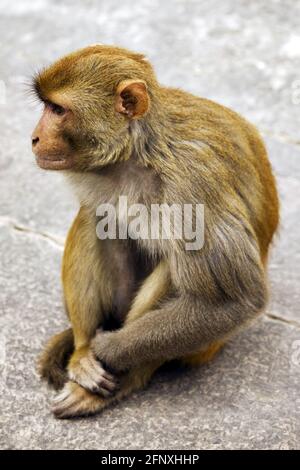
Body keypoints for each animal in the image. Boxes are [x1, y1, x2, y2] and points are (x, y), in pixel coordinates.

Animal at [31, 45, 278, 418]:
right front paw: (87, 351)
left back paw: (123, 377)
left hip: (204, 347)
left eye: (58, 110)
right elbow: (100, 217)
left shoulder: (194, 183)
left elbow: (234, 301)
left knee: (177, 267)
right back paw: (82, 352)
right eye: (47, 106)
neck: (139, 153)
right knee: (97, 218)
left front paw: (107, 350)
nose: (34, 138)